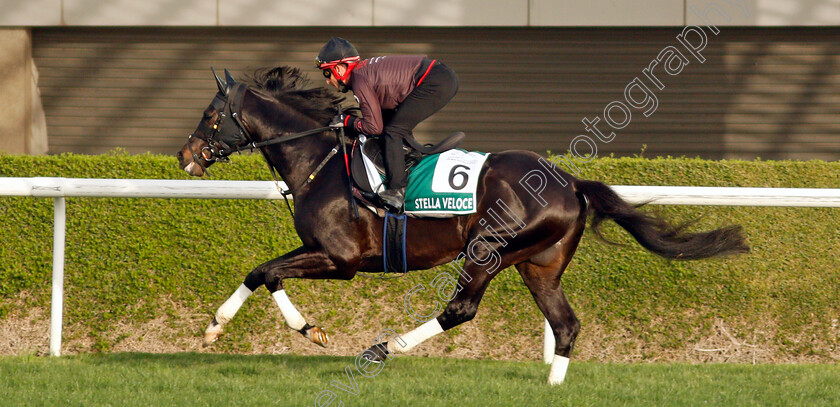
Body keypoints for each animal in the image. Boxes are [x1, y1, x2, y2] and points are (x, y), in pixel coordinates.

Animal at [176, 67, 748, 386]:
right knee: (565, 324)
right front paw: (226, 327)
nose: (186, 157)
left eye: (209, 114)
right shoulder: (324, 253)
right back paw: (553, 387)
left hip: (487, 249)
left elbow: (267, 271)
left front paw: (293, 329)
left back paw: (388, 348)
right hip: (538, 265)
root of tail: (570, 181)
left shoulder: (342, 259)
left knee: (461, 309)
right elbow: (261, 272)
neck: (319, 159)